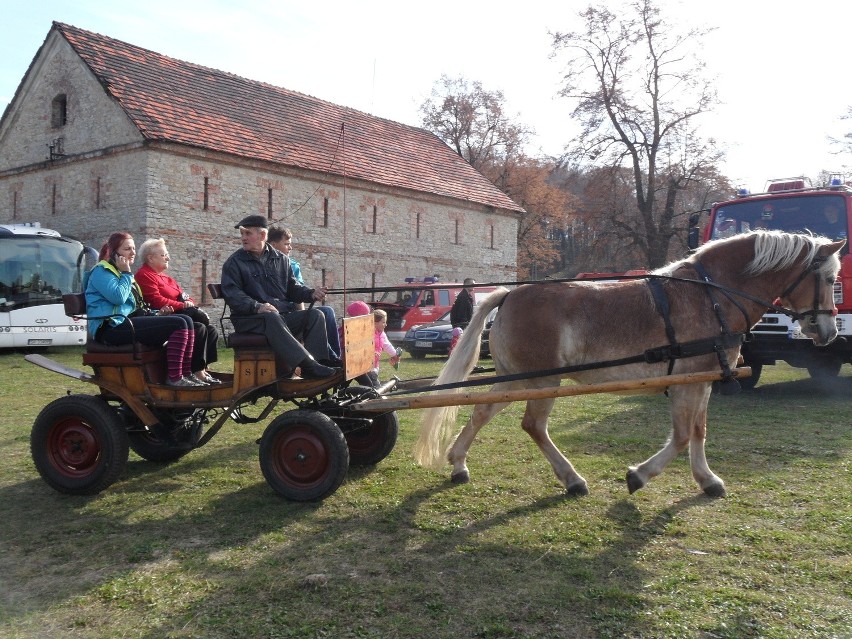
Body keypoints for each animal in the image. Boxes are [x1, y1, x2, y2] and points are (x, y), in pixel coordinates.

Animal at [414, 232, 844, 498]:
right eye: (828, 278)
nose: (828, 330)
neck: (712, 297)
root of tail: (507, 295)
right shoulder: (689, 380)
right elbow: (682, 435)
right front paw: (639, 475)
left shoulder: (704, 380)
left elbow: (699, 431)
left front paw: (706, 479)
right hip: (541, 382)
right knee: (533, 425)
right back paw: (572, 480)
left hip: (516, 378)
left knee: (482, 411)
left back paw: (458, 463)